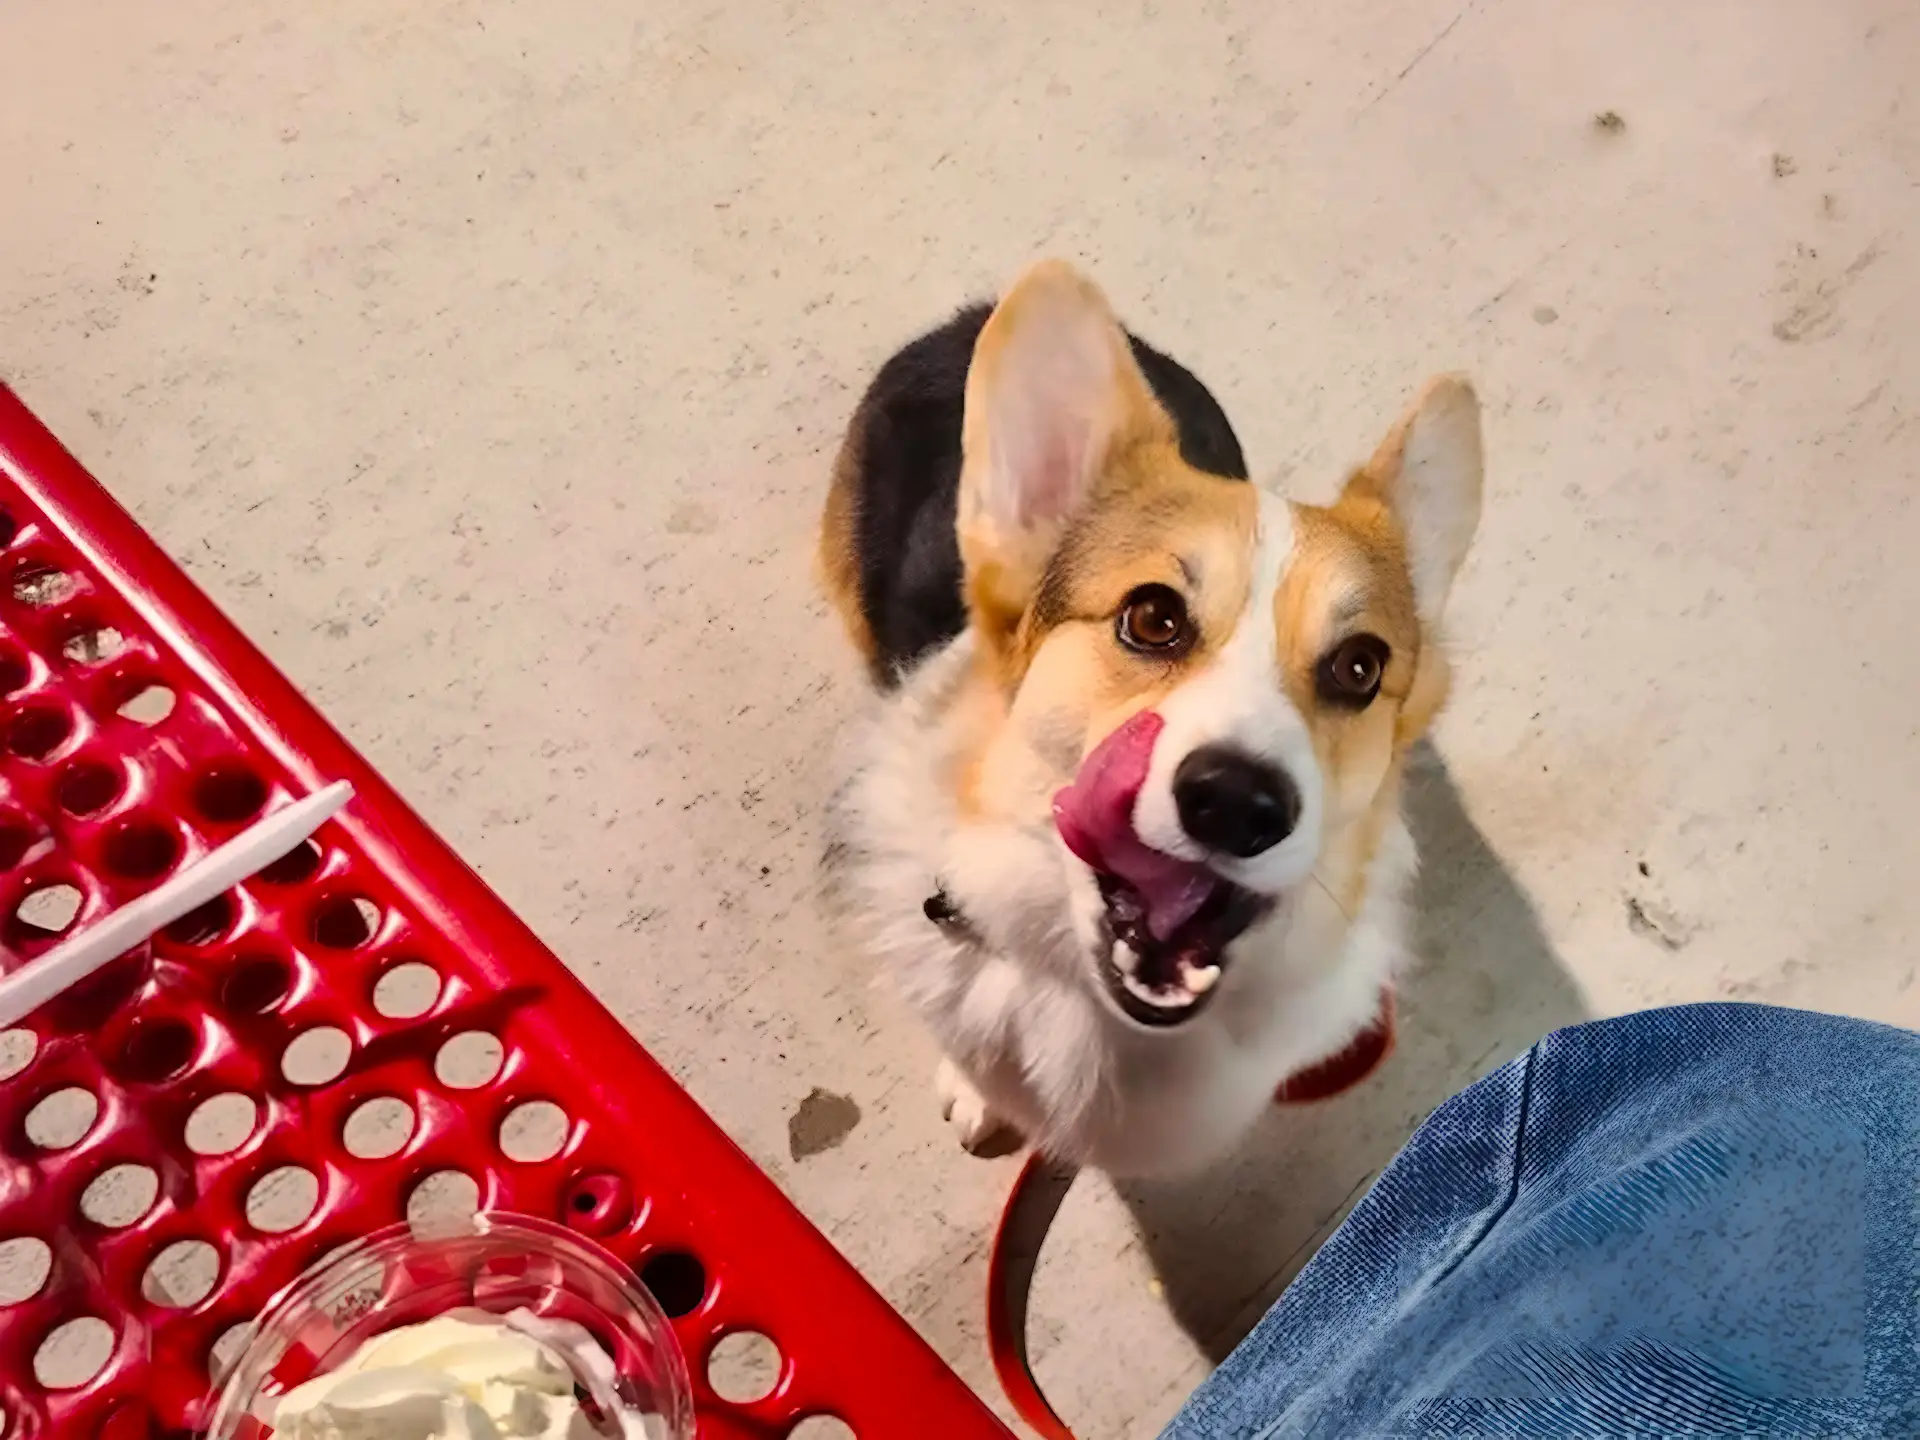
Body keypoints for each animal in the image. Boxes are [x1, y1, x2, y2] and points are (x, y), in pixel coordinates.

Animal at [817, 259, 1474, 1182]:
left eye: (1360, 668)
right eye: (1153, 618)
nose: (1236, 802)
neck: (1100, 1010)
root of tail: (968, 317)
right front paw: (980, 1091)